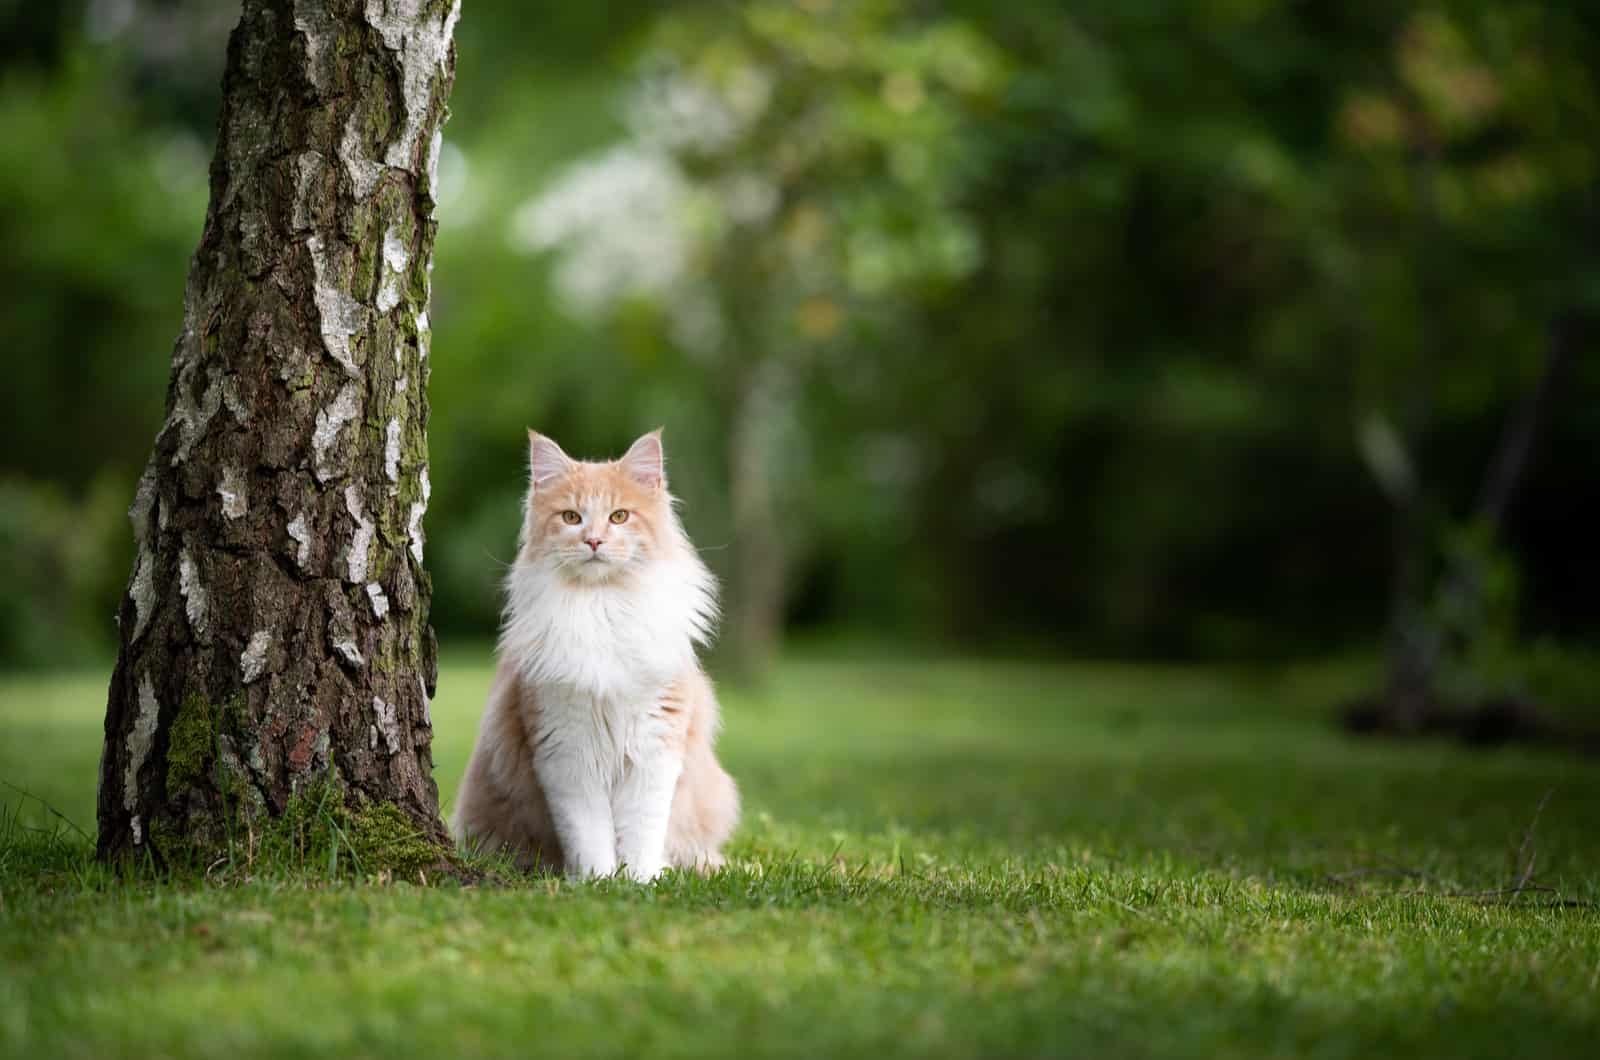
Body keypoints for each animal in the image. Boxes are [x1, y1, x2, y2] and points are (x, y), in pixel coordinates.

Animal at [451, 429, 736, 883]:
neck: (602, 608)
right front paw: (598, 882)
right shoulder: (567, 755)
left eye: (619, 517)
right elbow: (590, 837)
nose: (594, 541)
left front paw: (641, 882)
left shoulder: (654, 749)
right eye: (571, 517)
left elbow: (640, 834)